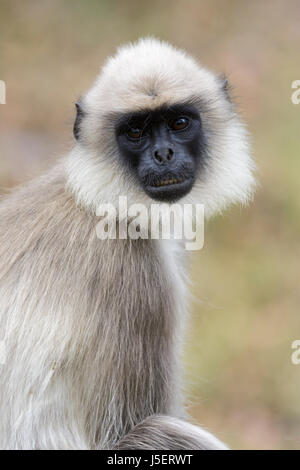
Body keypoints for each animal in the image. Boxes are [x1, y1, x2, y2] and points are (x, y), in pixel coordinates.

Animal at [0, 38, 255, 450]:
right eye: (135, 131)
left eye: (179, 123)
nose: (163, 154)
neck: (102, 202)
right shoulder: (131, 271)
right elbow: (121, 432)